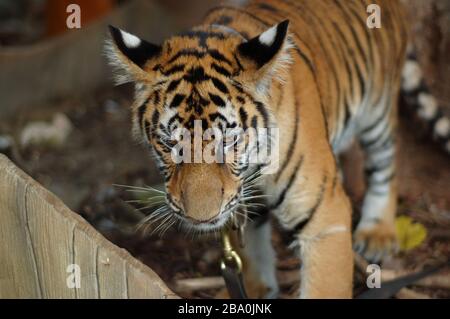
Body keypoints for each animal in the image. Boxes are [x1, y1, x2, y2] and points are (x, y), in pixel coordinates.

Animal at [106, 0, 450, 300]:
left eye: (229, 142)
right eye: (169, 144)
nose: (203, 218)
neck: (252, 170)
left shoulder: (324, 217)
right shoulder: (240, 203)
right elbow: (249, 246)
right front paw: (255, 288)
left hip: (377, 111)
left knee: (386, 162)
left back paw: (378, 231)